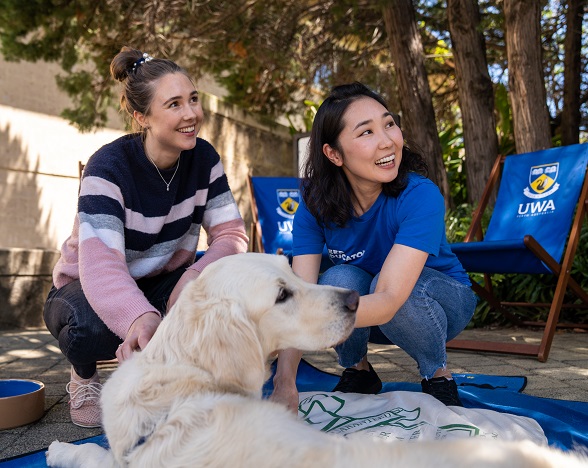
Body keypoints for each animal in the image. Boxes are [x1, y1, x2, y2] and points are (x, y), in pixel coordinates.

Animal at [47, 254, 588, 466]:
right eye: (282, 293)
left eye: (290, 267)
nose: (353, 301)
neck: (182, 392)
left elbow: (95, 455)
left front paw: (58, 448)